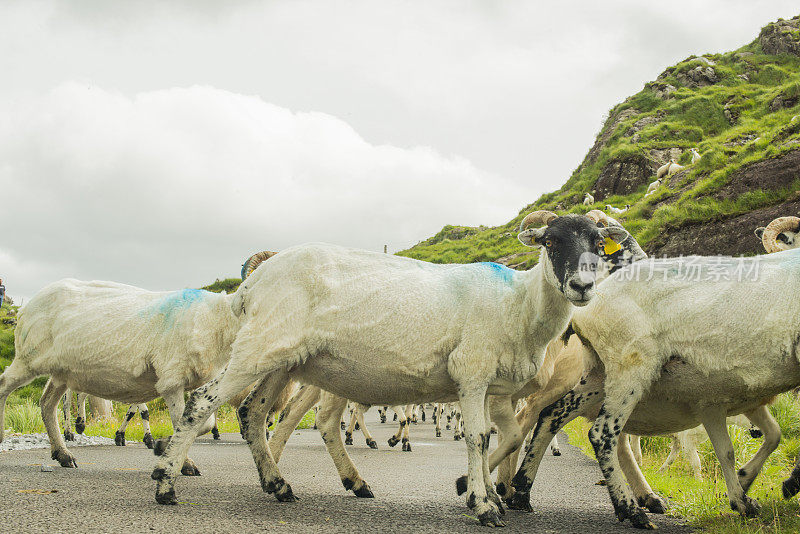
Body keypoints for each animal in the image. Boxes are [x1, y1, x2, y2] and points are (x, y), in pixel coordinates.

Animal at [0, 280, 245, 474]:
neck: (217, 318)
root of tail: (27, 306)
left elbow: (202, 423)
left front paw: (166, 448)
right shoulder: (172, 380)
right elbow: (182, 423)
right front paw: (177, 458)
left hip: (61, 371)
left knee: (47, 403)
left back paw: (64, 455)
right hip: (29, 357)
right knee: (4, 386)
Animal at [152, 210, 632, 528]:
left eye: (597, 243)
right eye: (550, 242)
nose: (582, 286)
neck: (519, 304)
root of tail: (253, 281)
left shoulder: (490, 387)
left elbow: (498, 439)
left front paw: (483, 494)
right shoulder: (472, 373)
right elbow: (477, 438)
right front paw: (482, 505)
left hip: (280, 358)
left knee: (252, 412)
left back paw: (282, 484)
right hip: (259, 346)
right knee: (203, 403)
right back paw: (166, 484)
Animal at [512, 249, 800, 528]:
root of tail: (583, 308)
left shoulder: (719, 403)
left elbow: (757, 441)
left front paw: (745, 488)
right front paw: (783, 484)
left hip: (598, 374)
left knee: (553, 414)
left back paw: (522, 489)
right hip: (630, 363)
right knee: (601, 432)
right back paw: (630, 509)